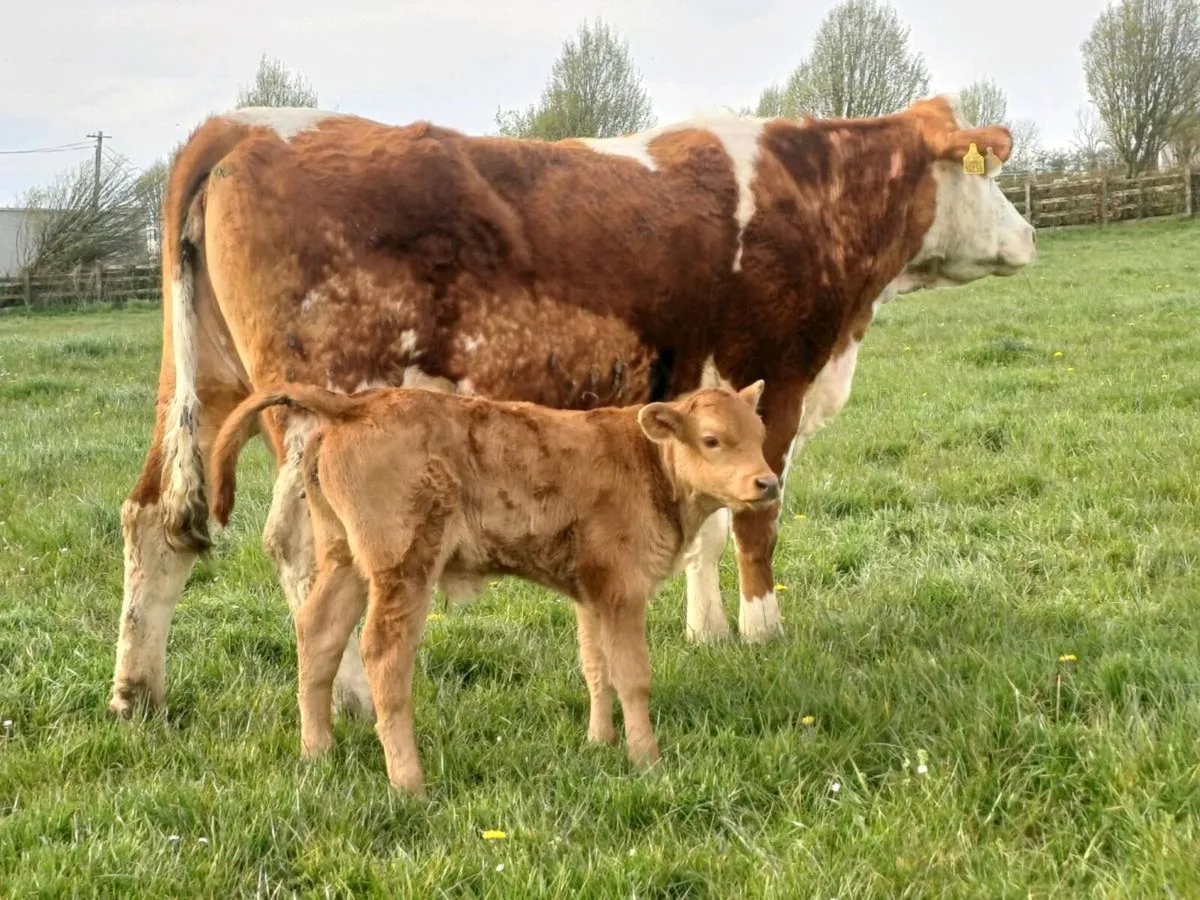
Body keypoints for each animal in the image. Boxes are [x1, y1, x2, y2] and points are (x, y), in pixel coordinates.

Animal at [106, 95, 1036, 723]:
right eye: (988, 174)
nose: (1029, 236)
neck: (811, 195)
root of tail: (248, 124)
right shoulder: (777, 381)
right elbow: (754, 523)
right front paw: (764, 634)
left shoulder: (711, 399)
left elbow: (707, 522)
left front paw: (708, 634)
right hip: (319, 403)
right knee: (303, 549)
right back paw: (349, 699)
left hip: (206, 384)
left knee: (155, 520)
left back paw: (137, 694)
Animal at [207, 374, 776, 794]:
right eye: (711, 439)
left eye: (760, 435)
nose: (767, 483)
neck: (646, 461)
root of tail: (357, 404)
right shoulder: (622, 590)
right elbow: (633, 677)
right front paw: (647, 760)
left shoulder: (592, 592)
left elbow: (597, 669)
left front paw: (600, 742)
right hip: (404, 568)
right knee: (383, 654)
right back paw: (408, 782)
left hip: (344, 559)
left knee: (318, 633)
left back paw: (317, 752)